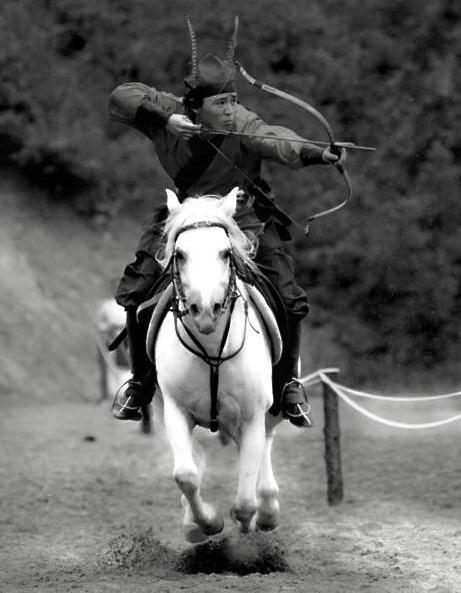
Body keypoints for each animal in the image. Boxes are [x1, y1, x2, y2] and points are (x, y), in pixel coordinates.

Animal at [151, 187, 282, 544]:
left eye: (225, 253)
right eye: (180, 254)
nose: (206, 309)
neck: (211, 349)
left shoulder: (252, 414)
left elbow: (245, 502)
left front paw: (249, 520)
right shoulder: (175, 409)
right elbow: (186, 474)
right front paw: (205, 523)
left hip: (269, 410)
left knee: (266, 444)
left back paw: (269, 509)